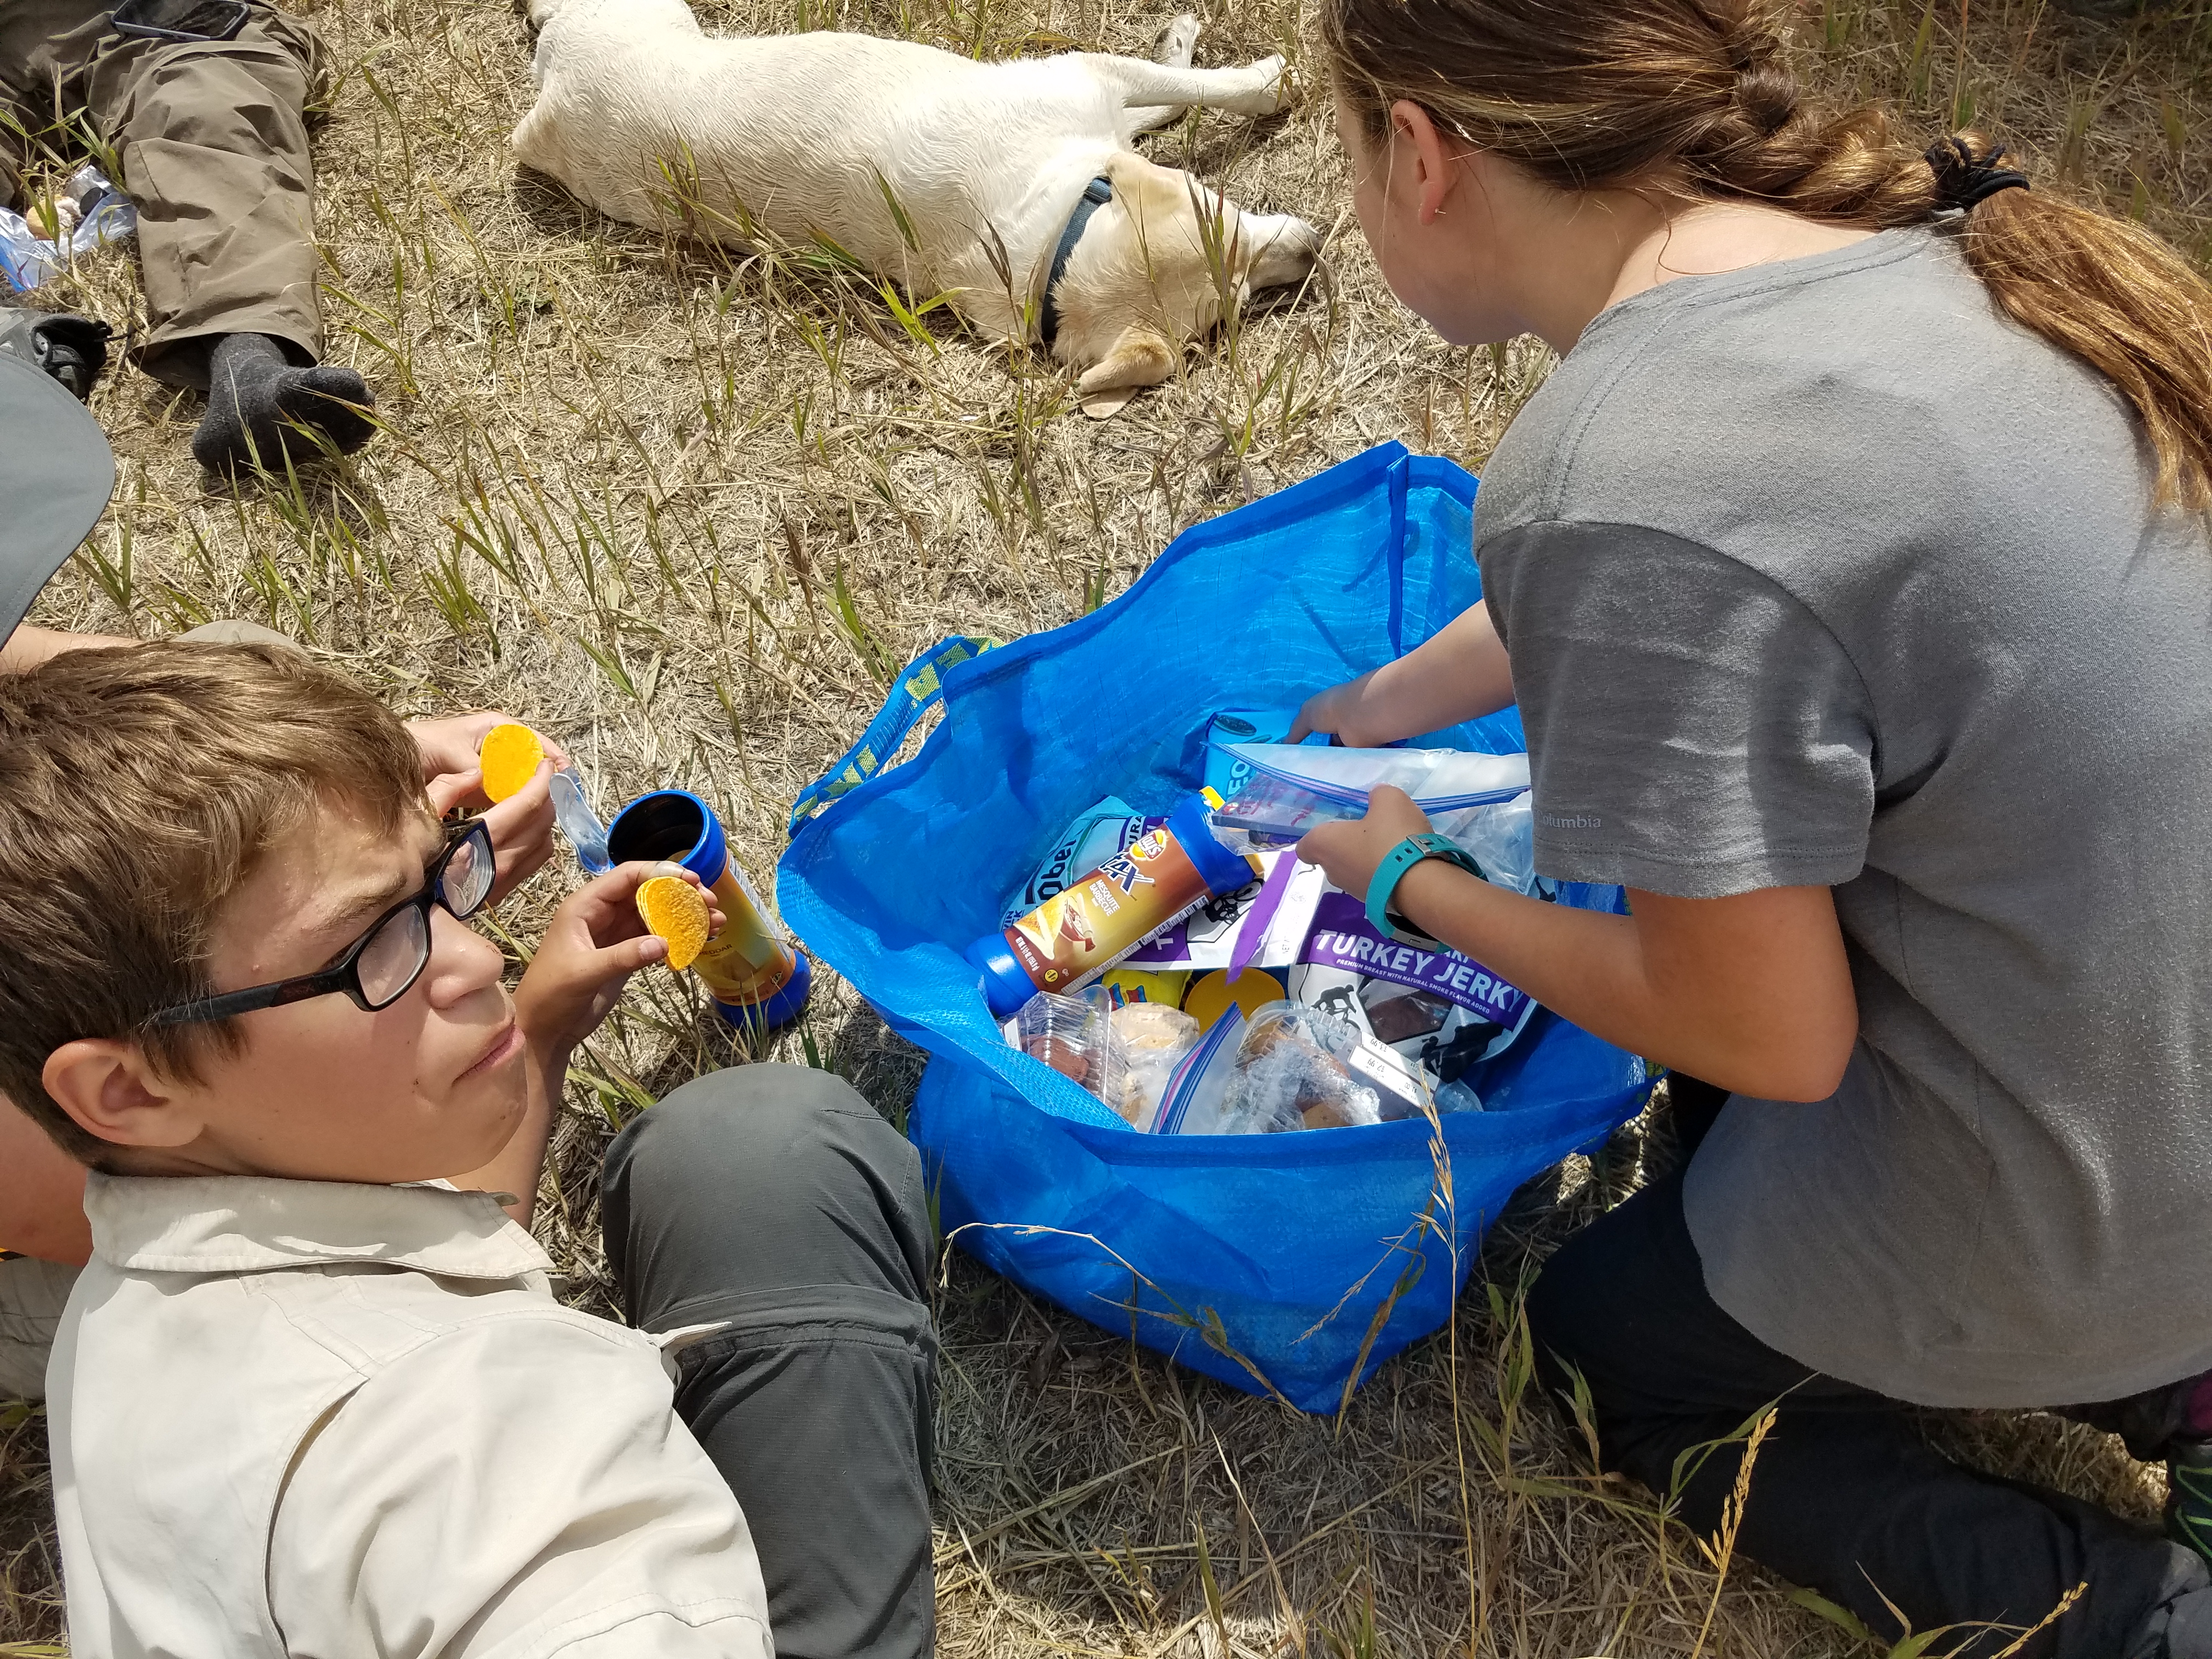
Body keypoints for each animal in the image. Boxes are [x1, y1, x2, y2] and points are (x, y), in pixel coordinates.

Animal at [513, 0, 1309, 413]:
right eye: (1219, 208)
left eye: (1241, 304)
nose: (1315, 250)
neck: (1053, 247)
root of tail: (550, 94)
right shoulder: (1087, 79)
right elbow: (1203, 89)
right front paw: (1272, 81)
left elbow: (1169, 101)